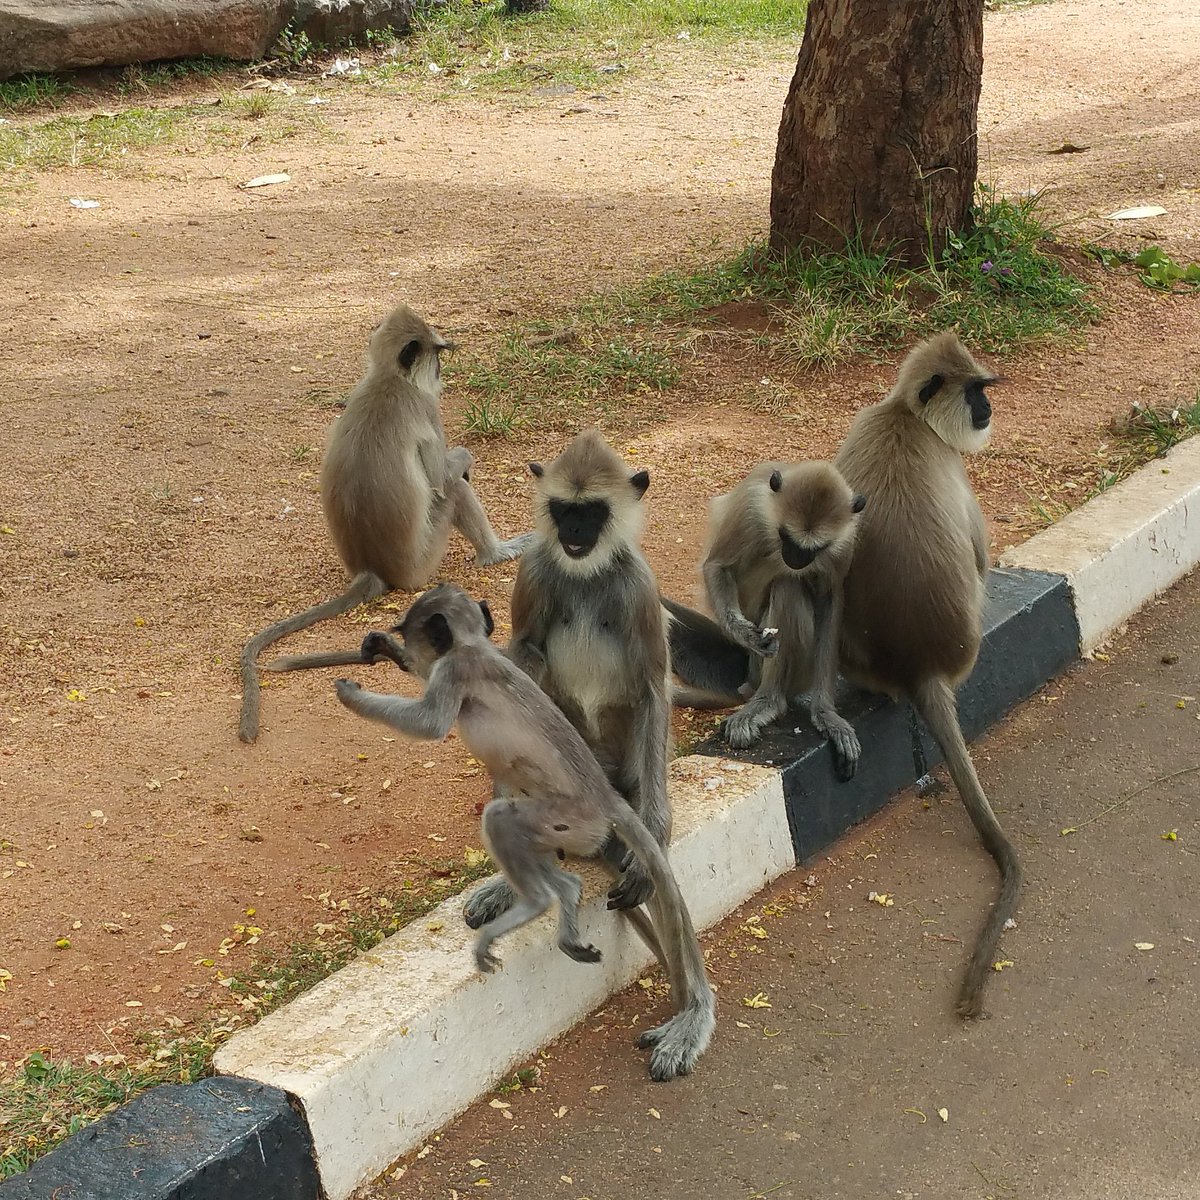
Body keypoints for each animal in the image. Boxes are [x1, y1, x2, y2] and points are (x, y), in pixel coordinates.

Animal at [236, 303, 534, 743]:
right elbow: (442, 478)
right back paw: (495, 553)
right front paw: (464, 458)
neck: (386, 379)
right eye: (437, 352)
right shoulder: (425, 408)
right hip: (425, 558)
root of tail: (371, 568)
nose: (441, 370)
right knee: (453, 492)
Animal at [334, 584, 716, 1081]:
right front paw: (383, 650)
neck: (474, 647)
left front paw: (352, 695)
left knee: (500, 816)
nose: (400, 642)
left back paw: (538, 901)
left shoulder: (455, 671)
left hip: (569, 818)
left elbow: (430, 723)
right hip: (570, 830)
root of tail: (609, 800)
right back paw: (564, 894)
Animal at [461, 428, 674, 934]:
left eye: (591, 511)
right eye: (563, 511)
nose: (573, 534)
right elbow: (523, 658)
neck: (586, 574)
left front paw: (651, 848)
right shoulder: (535, 569)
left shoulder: (638, 584)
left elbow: (652, 689)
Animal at [662, 462, 866, 778]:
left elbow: (829, 599)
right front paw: (745, 634)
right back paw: (768, 701)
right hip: (757, 667)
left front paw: (826, 714)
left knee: (790, 583)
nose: (795, 559)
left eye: (813, 549)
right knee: (787, 584)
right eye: (785, 537)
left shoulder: (843, 542)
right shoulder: (750, 507)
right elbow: (717, 566)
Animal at [832, 329, 1020, 1019]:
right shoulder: (951, 465)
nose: (988, 410)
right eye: (976, 392)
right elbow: (979, 550)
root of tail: (922, 669)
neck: (906, 418)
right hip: (967, 641)